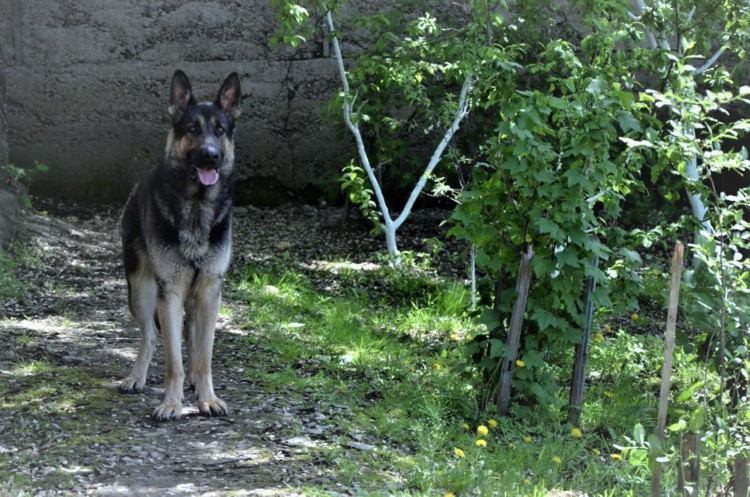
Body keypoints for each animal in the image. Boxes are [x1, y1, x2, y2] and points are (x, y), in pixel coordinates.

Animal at [119, 70, 241, 418]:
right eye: (192, 129)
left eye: (220, 130)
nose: (211, 155)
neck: (196, 207)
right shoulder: (169, 292)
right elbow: (173, 360)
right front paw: (172, 403)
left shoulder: (210, 292)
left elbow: (204, 356)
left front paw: (207, 397)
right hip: (141, 291)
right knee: (150, 337)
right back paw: (137, 377)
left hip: (194, 300)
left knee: (190, 338)